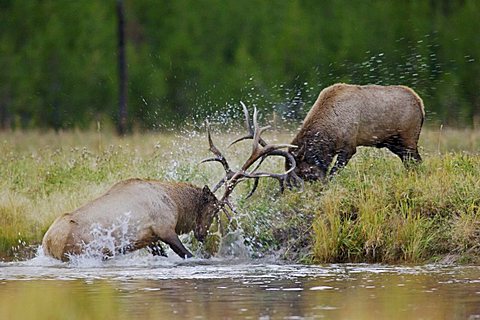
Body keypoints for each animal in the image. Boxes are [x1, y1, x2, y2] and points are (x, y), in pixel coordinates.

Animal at [42, 109, 296, 262]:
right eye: (214, 209)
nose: (202, 234)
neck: (176, 202)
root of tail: (48, 243)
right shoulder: (163, 228)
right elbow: (188, 255)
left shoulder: (150, 240)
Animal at [284, 83, 424, 180]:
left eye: (300, 172)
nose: (290, 189)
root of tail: (420, 104)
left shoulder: (348, 147)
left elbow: (333, 172)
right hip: (395, 144)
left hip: (408, 139)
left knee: (416, 161)